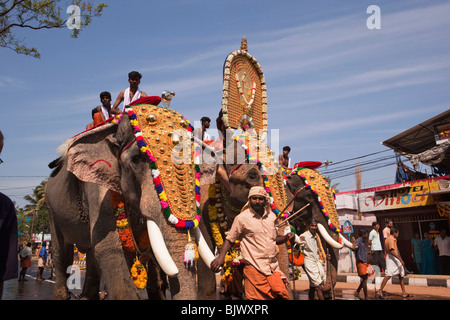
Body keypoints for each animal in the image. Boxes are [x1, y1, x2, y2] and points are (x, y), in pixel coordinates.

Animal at [46, 99, 216, 298]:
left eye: (195, 164)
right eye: (136, 159)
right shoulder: (99, 189)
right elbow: (109, 248)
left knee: (90, 253)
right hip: (51, 208)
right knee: (61, 251)